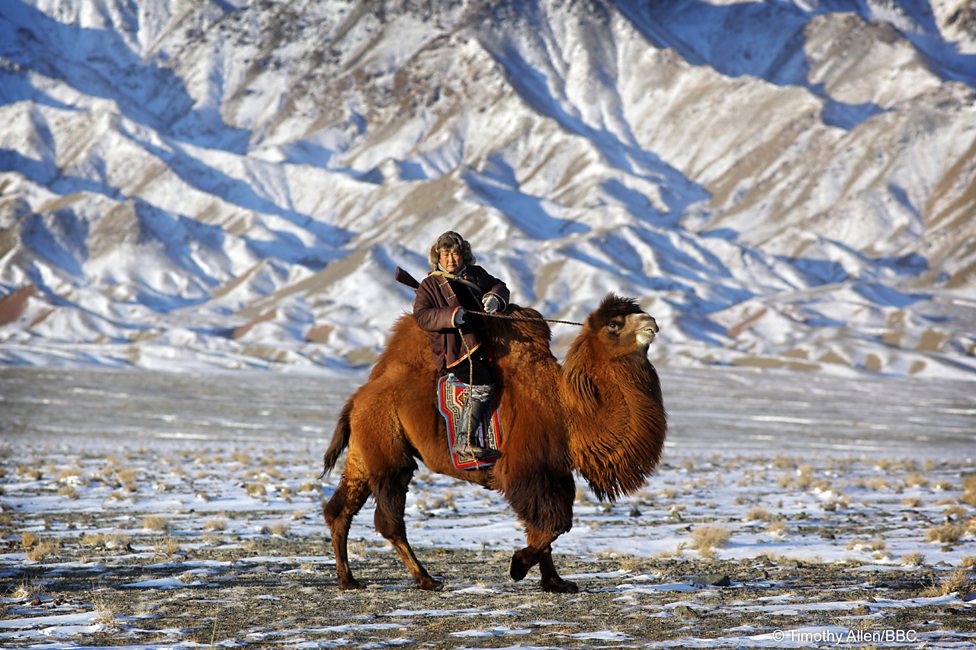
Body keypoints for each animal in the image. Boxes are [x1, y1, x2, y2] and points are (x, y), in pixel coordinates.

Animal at [320, 294, 664, 592]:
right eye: (614, 324)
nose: (652, 321)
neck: (568, 410)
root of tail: (357, 398)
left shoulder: (554, 472)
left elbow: (545, 527)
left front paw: (556, 582)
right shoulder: (528, 471)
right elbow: (553, 525)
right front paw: (518, 566)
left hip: (364, 451)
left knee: (339, 509)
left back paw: (348, 579)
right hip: (388, 453)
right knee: (389, 520)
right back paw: (426, 579)